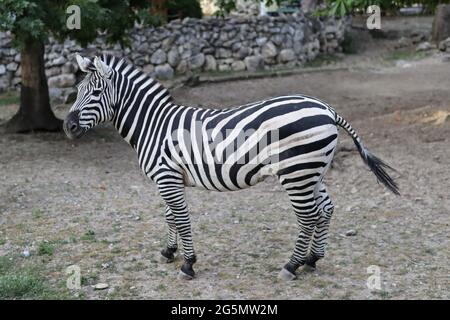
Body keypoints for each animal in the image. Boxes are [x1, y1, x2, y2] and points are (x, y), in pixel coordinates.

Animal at [63, 55, 398, 280]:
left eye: (95, 93)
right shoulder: (169, 177)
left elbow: (181, 219)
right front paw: (169, 252)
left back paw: (292, 265)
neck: (154, 124)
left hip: (296, 173)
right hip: (314, 171)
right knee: (326, 209)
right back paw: (313, 259)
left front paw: (188, 263)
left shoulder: (166, 176)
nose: (67, 126)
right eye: (76, 91)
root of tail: (327, 109)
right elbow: (170, 216)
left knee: (308, 216)